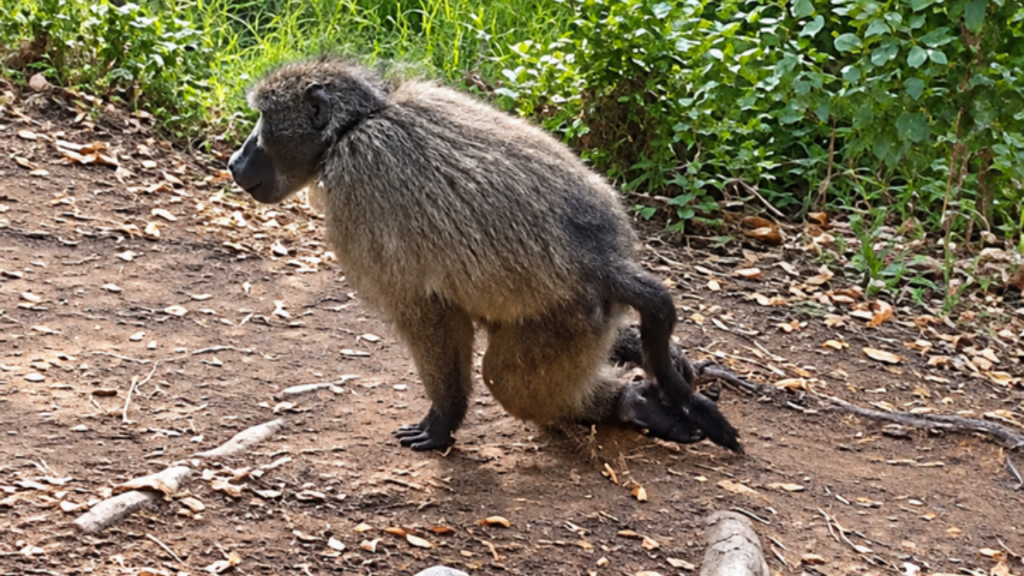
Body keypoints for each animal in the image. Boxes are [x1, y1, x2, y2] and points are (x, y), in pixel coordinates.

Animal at [228, 56, 741, 453]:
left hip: (567, 318)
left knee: (506, 379)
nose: (235, 161)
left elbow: (428, 312)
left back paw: (631, 402)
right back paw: (638, 391)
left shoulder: (361, 197)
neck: (356, 126)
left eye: (262, 122)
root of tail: (607, 262)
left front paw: (443, 420)